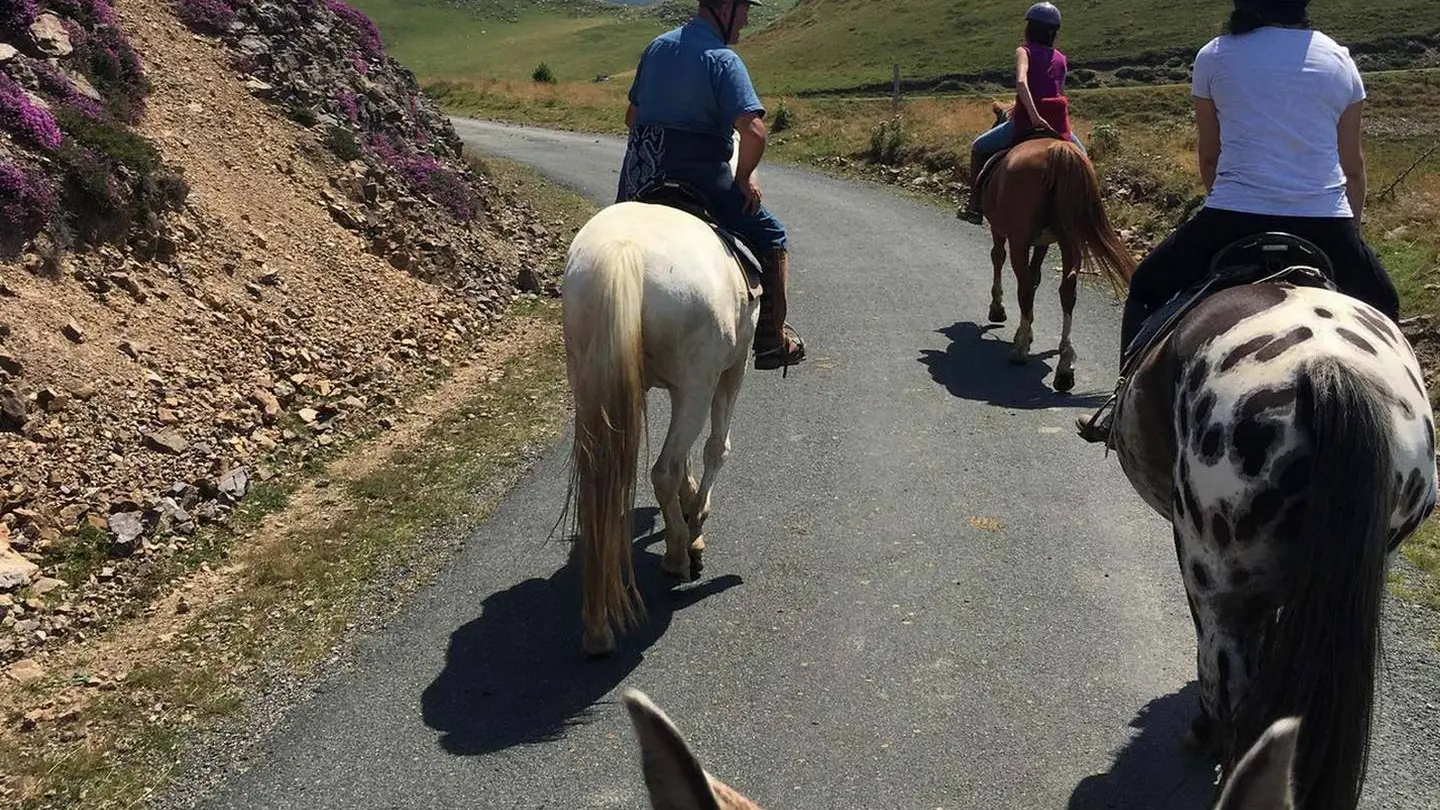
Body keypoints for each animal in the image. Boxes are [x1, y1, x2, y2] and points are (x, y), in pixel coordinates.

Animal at [561, 128, 766, 651]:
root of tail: (623, 252)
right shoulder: (728, 372)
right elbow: (715, 448)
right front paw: (696, 522)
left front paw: (691, 506)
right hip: (699, 385)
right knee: (664, 470)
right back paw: (678, 551)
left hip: (590, 382)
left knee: (607, 471)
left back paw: (597, 626)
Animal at [979, 102, 1134, 392]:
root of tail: (1057, 152)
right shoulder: (1043, 242)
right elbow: (1037, 278)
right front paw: (1026, 331)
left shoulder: (1002, 232)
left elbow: (999, 259)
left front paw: (999, 310)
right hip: (1068, 241)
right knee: (1067, 291)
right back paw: (1064, 366)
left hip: (1020, 240)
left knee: (1024, 287)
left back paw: (1020, 351)